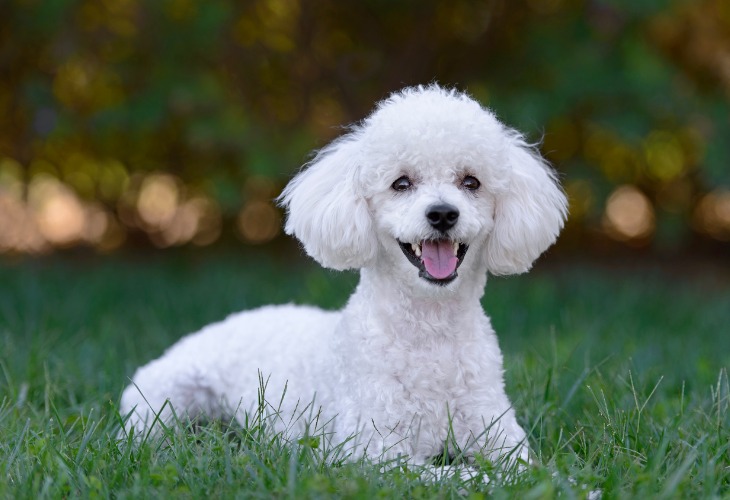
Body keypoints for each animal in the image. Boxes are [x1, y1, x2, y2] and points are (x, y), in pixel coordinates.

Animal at [119, 84, 564, 470]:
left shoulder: (499, 434)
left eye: (471, 182)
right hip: (164, 399)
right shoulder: (378, 455)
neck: (430, 332)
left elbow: (535, 474)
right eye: (401, 183)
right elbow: (463, 478)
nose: (442, 214)